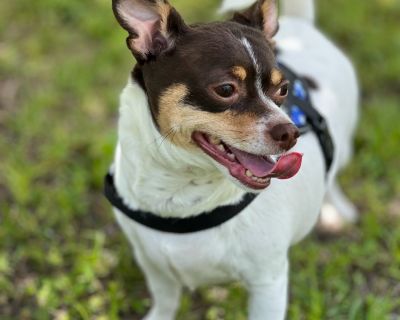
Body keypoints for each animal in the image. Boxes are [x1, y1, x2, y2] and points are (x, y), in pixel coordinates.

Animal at [107, 0, 360, 318]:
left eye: (283, 90)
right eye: (226, 89)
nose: (291, 132)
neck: (180, 191)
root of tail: (303, 24)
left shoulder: (268, 283)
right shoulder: (154, 266)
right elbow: (165, 301)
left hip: (344, 144)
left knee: (334, 171)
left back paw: (338, 209)